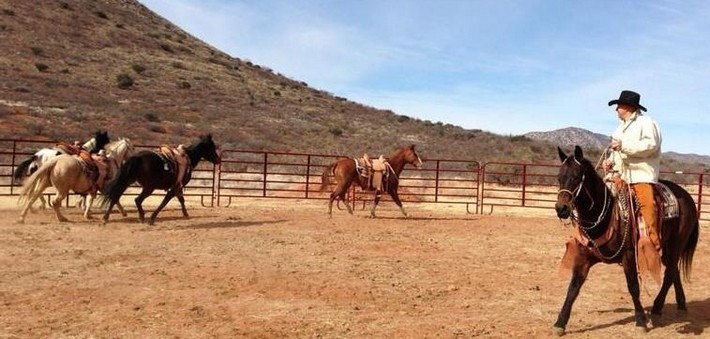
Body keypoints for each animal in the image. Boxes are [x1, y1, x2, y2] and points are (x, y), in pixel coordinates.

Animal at [552, 145, 700, 334]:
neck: (606, 215)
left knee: (669, 274)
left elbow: (633, 287)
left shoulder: (629, 256)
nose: (561, 208)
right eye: (559, 177)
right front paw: (560, 323)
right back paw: (679, 305)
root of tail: (687, 197)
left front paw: (641, 321)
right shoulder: (583, 258)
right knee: (674, 271)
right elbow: (573, 288)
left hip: (675, 245)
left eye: (576, 176)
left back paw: (657, 306)